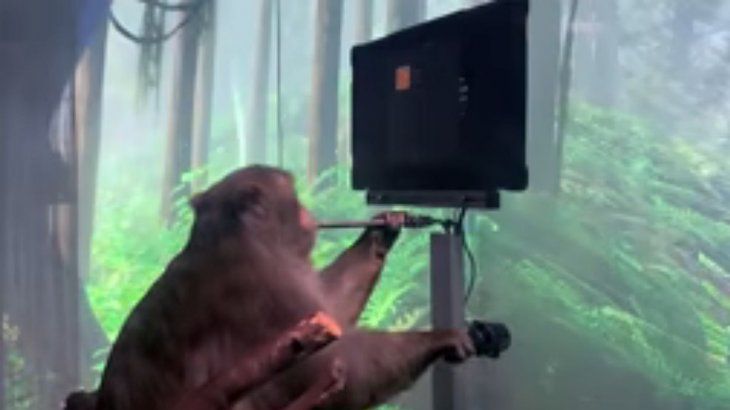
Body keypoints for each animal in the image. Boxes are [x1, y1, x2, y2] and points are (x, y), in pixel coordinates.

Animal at [74, 165, 478, 410]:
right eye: (295, 199)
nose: (309, 213)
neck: (235, 236)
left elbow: (331, 307)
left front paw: (381, 232)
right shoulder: (261, 283)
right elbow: (344, 359)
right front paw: (441, 337)